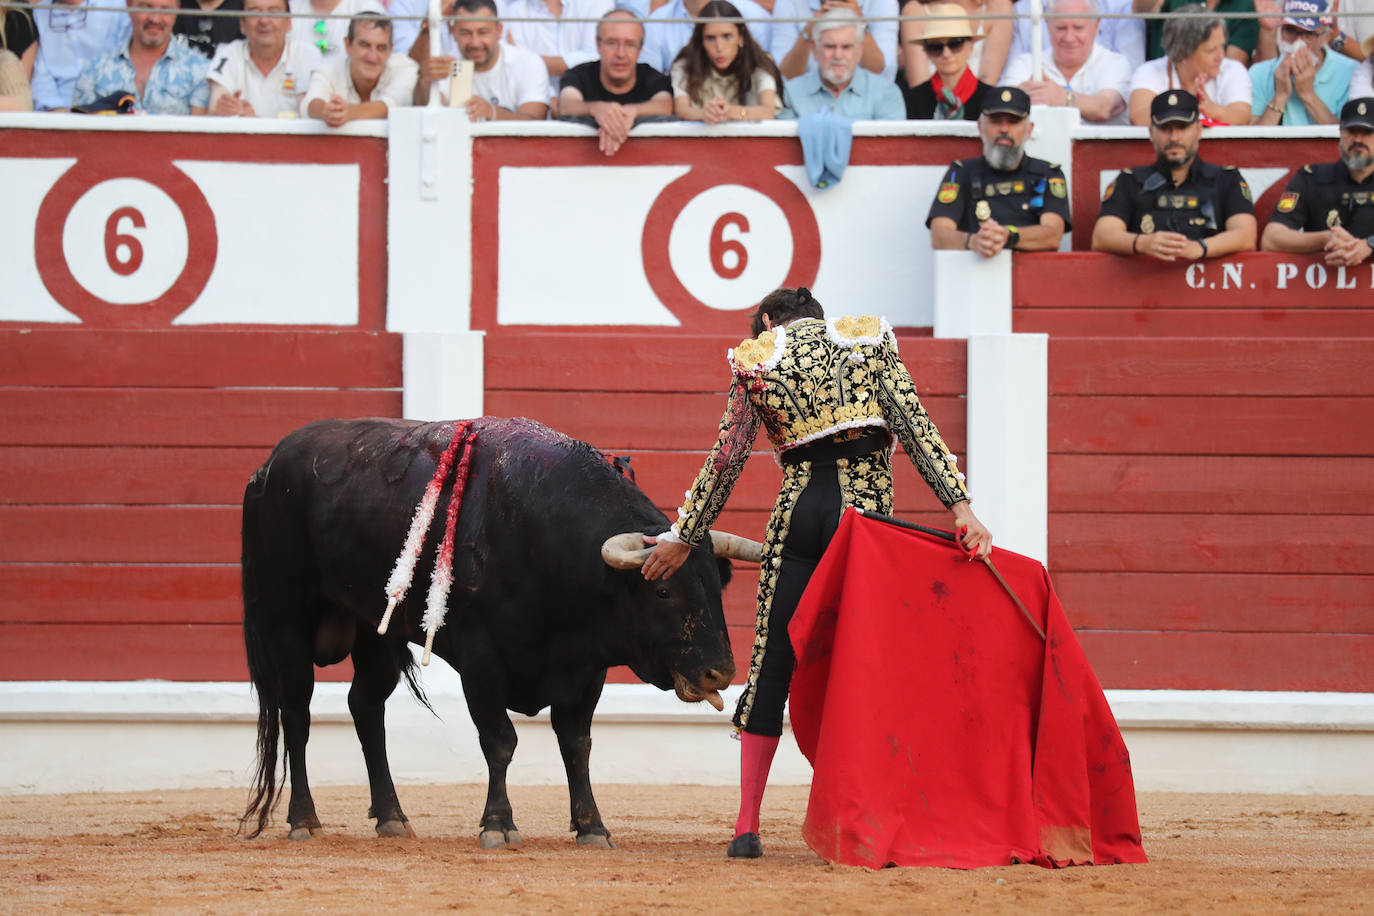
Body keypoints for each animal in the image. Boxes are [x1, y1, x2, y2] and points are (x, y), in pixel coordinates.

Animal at [241, 414, 758, 845]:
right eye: (663, 592)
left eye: (718, 586)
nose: (719, 672)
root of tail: (267, 467)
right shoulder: (481, 661)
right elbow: (500, 740)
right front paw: (498, 824)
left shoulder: (585, 668)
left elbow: (577, 744)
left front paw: (592, 826)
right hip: (285, 618)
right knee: (297, 714)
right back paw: (304, 819)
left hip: (376, 632)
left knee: (366, 708)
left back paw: (392, 817)